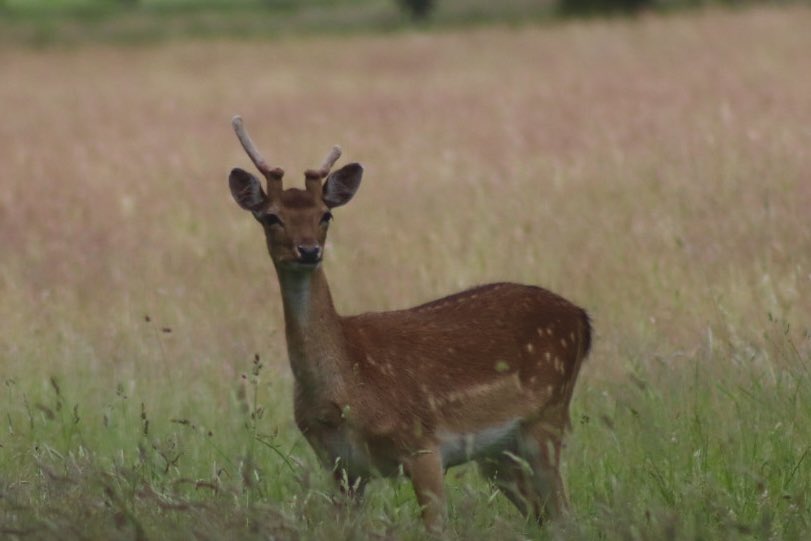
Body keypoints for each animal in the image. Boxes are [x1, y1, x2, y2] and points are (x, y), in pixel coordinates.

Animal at [227, 115, 592, 532]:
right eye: (272, 216)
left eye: (325, 214)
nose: (308, 250)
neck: (346, 392)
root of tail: (582, 319)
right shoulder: (341, 467)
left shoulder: (423, 445)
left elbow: (436, 527)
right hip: (499, 452)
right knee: (543, 515)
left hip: (547, 416)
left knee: (563, 512)